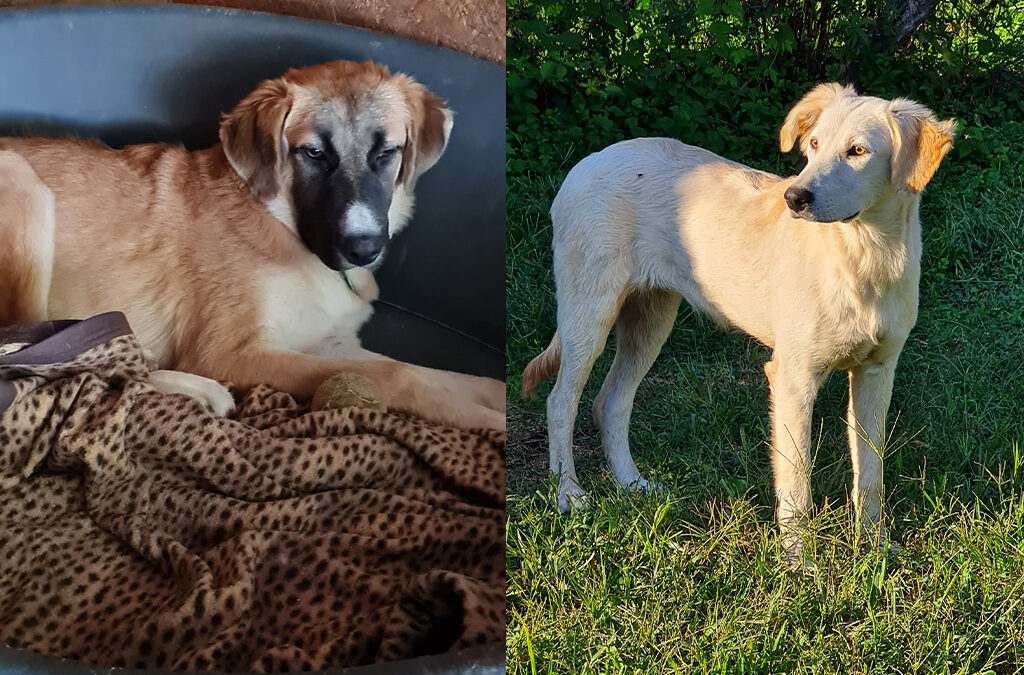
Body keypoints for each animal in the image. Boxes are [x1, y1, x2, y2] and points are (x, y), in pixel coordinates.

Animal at [0, 60, 503, 430]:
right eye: (314, 153)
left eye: (386, 153)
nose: (363, 249)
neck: (281, 226)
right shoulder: (231, 353)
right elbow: (395, 374)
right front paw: (486, 424)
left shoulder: (324, 343)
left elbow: (432, 373)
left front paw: (492, 393)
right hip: (23, 192)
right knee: (42, 367)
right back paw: (197, 389)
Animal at [524, 86, 954, 569]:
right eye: (814, 145)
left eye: (858, 151)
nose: (794, 198)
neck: (865, 255)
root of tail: (585, 164)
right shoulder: (793, 378)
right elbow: (796, 479)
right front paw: (799, 562)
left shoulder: (877, 373)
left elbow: (871, 472)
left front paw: (875, 548)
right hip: (589, 312)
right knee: (561, 402)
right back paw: (569, 494)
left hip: (651, 318)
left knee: (610, 402)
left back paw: (633, 485)